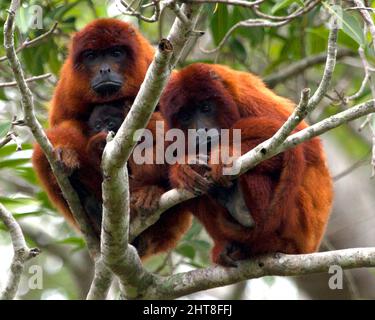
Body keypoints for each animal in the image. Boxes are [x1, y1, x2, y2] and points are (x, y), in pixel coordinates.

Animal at [31, 18, 194, 260]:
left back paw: (150, 192)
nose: (104, 69)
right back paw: (91, 204)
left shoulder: (155, 70)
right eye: (92, 56)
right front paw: (66, 152)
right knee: (43, 151)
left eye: (115, 53)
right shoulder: (68, 87)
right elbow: (63, 125)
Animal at [160, 63, 334, 268]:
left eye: (205, 107)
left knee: (256, 175)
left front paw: (224, 156)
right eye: (186, 116)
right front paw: (183, 170)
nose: (201, 132)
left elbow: (301, 147)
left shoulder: (248, 99)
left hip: (298, 219)